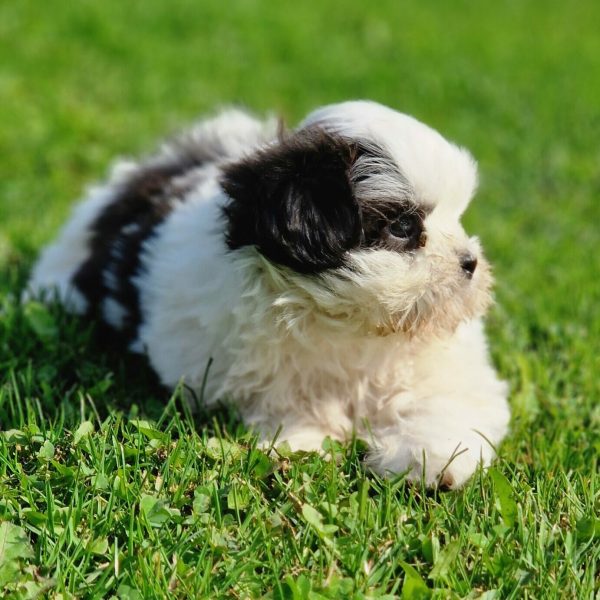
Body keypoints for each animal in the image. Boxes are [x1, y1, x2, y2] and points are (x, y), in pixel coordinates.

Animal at [29, 99, 510, 488]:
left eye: (458, 216)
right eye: (404, 226)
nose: (469, 262)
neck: (352, 325)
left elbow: (449, 402)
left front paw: (428, 458)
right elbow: (287, 405)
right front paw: (303, 442)